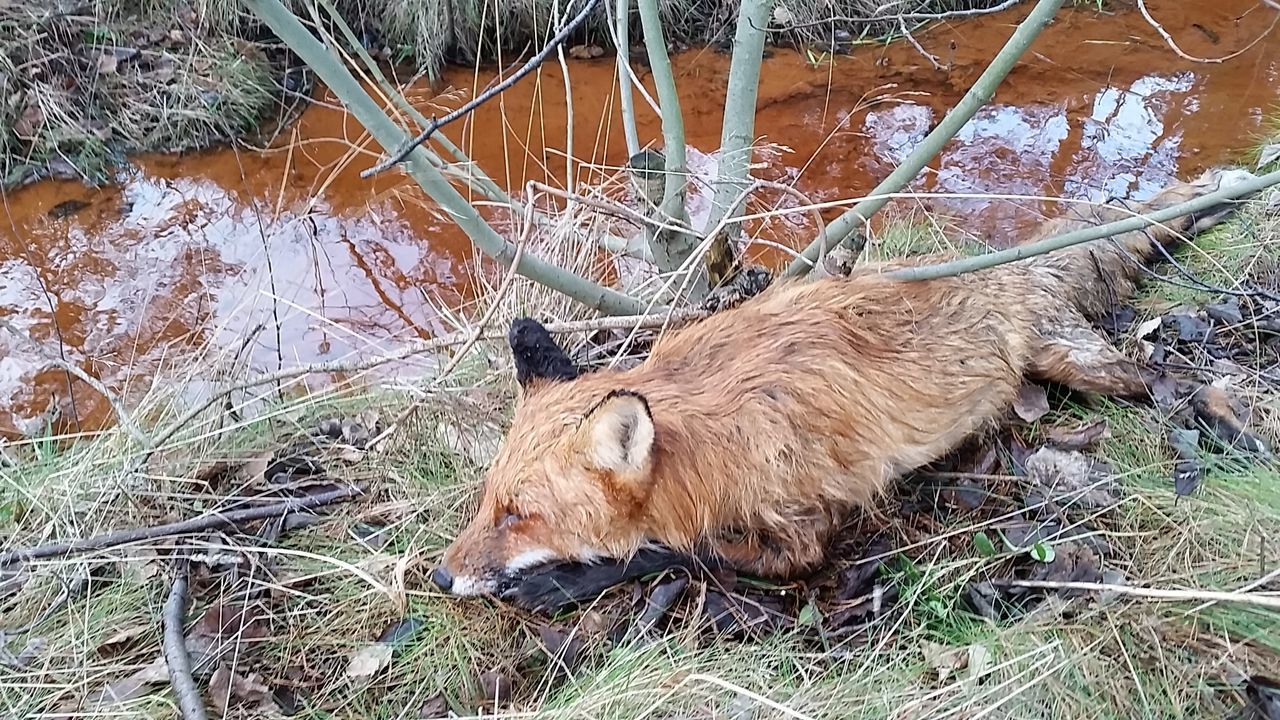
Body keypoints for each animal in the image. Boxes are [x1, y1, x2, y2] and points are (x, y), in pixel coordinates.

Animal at [432, 165, 1269, 602]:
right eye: (487, 501)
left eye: (521, 516)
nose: (439, 578)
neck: (706, 447)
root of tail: (1012, 265)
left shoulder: (805, 534)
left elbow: (681, 554)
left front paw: (563, 583)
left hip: (1083, 366)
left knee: (1175, 378)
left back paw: (1231, 432)